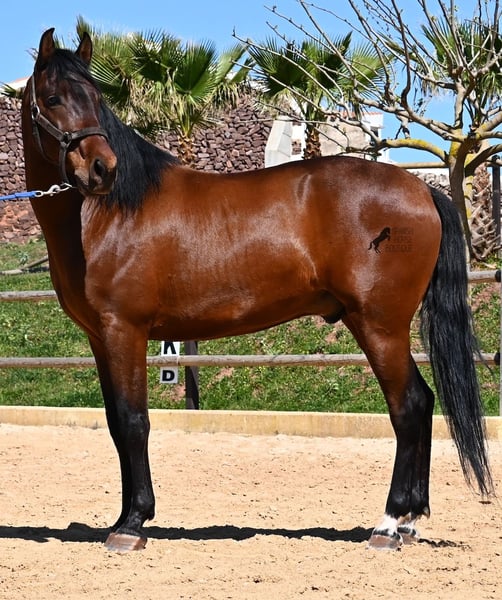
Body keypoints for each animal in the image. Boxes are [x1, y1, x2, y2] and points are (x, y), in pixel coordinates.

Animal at [20, 28, 492, 552]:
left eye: (97, 99)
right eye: (55, 98)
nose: (103, 169)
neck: (109, 215)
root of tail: (421, 188)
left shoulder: (125, 331)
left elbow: (133, 421)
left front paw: (132, 524)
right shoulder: (100, 339)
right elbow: (115, 424)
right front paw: (127, 516)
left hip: (379, 325)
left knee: (408, 406)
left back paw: (389, 524)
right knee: (423, 402)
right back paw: (409, 519)